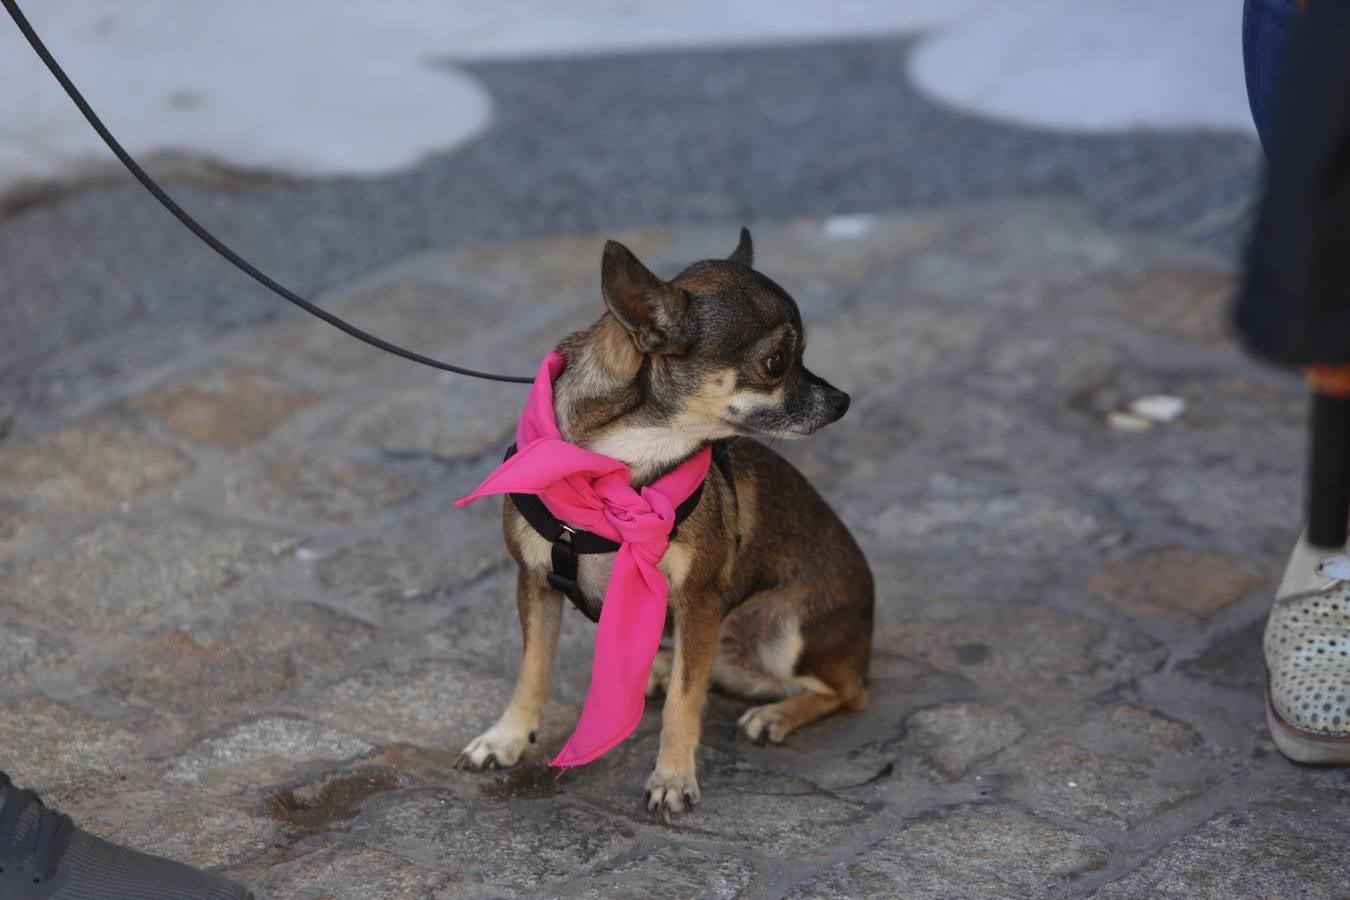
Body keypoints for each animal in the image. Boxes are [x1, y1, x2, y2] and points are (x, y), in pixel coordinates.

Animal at [453, 230, 874, 814]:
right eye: (777, 361)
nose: (842, 400)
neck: (619, 464)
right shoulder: (536, 582)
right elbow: (532, 671)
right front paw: (507, 737)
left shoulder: (699, 597)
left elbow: (685, 700)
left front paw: (672, 777)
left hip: (780, 625)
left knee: (846, 691)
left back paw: (774, 714)